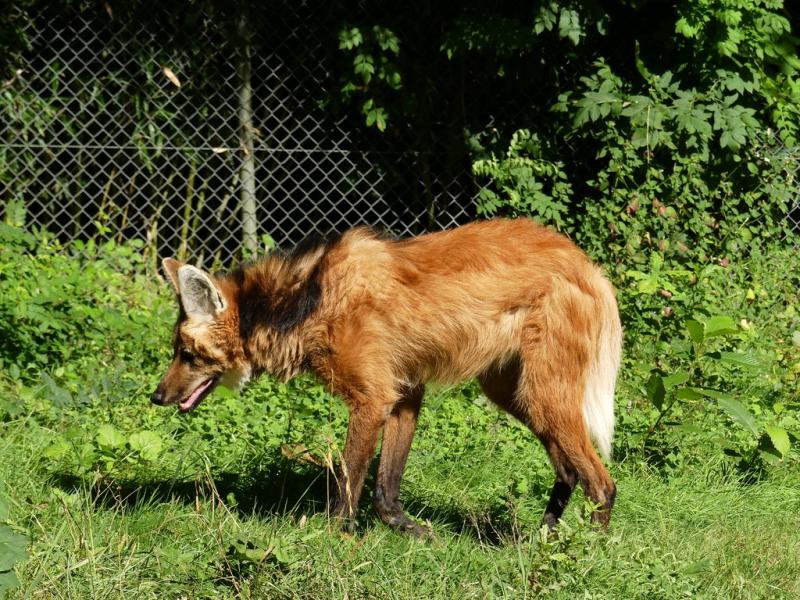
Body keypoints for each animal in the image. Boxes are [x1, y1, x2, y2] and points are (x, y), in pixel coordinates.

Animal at [151, 218, 622, 535]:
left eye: (187, 355)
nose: (157, 396)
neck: (306, 300)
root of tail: (588, 264)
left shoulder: (373, 397)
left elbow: (348, 482)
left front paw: (328, 540)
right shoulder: (403, 392)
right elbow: (384, 489)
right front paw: (411, 530)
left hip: (542, 392)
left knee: (602, 483)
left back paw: (584, 549)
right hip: (514, 392)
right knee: (569, 470)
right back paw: (542, 539)